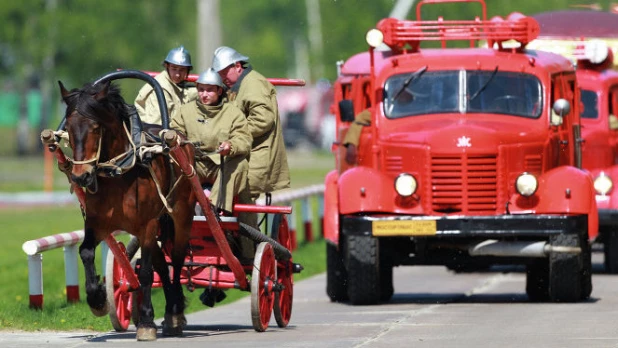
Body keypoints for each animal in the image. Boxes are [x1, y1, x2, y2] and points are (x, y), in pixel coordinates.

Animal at [58, 79, 195, 340]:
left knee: (177, 260)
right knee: (162, 264)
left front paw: (147, 322)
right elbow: (85, 252)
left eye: (95, 127)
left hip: (181, 217)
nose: (81, 177)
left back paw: (174, 312)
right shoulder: (97, 223)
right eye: (68, 128)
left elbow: (145, 273)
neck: (119, 171)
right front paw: (97, 298)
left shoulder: (148, 224)